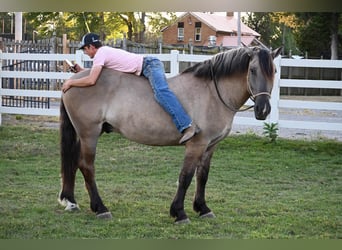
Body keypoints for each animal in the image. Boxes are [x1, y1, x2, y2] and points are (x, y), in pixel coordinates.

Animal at [58, 46, 282, 224]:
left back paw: (73, 202)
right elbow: (186, 177)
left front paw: (203, 208)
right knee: (87, 167)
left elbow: (202, 176)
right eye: (252, 70)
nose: (263, 109)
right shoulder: (196, 145)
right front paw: (179, 213)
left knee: (75, 164)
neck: (212, 92)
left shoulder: (210, 146)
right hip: (89, 134)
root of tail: (72, 81)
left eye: (274, 71)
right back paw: (101, 208)